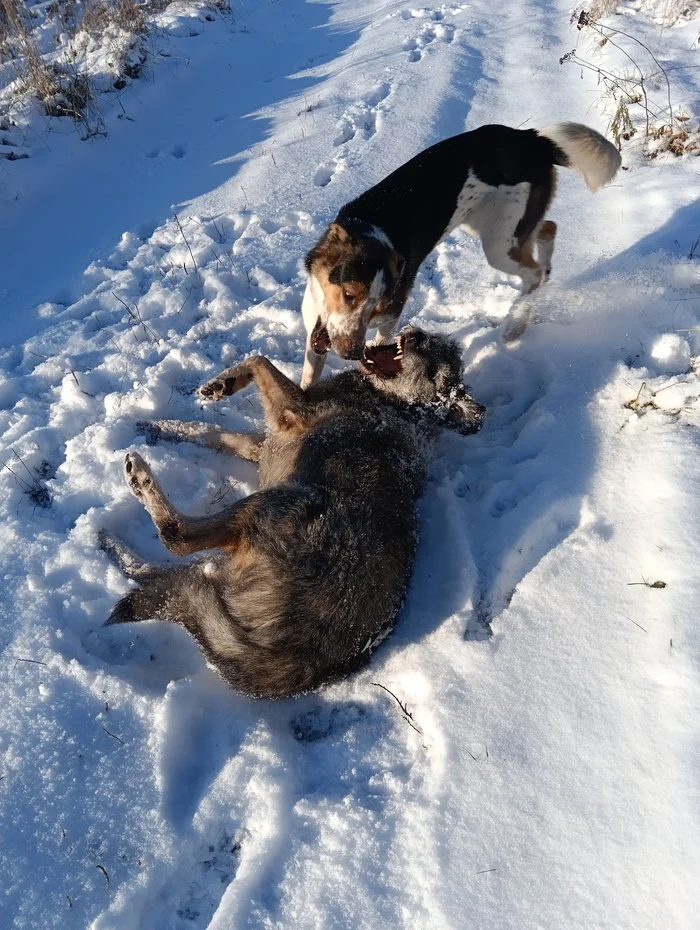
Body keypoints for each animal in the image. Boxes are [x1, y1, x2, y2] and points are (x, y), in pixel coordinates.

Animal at [101, 328, 484, 696]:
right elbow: (210, 430)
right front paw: (165, 421)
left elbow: (259, 359)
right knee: (165, 578)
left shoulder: (293, 411)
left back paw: (139, 478)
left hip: (274, 501)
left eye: (434, 371)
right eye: (431, 343)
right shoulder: (263, 443)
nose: (414, 335)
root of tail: (294, 658)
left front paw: (223, 384)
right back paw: (109, 542)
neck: (397, 405)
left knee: (177, 539)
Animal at [300, 121, 616, 386]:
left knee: (533, 272)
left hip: (497, 243)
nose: (351, 353)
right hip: (495, 226)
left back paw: (515, 326)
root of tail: (532, 139)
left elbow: (381, 348)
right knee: (549, 229)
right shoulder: (317, 328)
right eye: (349, 295)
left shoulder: (388, 320)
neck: (372, 230)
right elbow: (308, 379)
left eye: (377, 304)